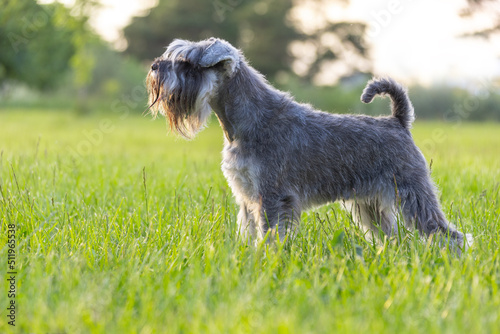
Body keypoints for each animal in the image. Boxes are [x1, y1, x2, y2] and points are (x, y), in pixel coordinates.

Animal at [146, 37, 472, 252]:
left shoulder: (272, 196)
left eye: (187, 62)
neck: (248, 120)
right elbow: (248, 229)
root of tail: (398, 121)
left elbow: (269, 233)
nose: (154, 67)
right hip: (370, 204)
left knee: (445, 232)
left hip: (412, 193)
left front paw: (266, 258)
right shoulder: (247, 195)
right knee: (389, 235)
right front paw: (246, 256)